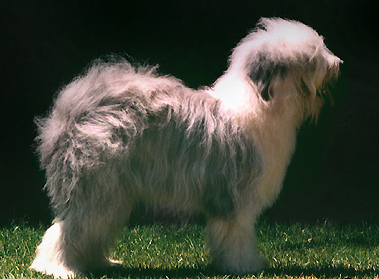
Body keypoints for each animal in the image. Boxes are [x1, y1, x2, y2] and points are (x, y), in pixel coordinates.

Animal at [31, 17, 342, 278]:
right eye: (313, 58)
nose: (338, 63)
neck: (261, 103)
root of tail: (73, 108)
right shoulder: (235, 198)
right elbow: (237, 236)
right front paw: (245, 266)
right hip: (94, 185)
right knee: (67, 229)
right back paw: (59, 268)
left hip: (112, 192)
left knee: (92, 229)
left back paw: (100, 263)